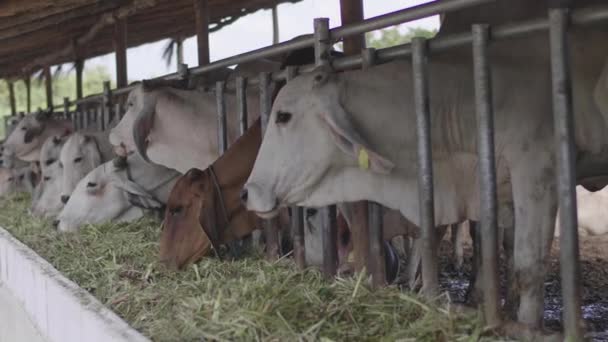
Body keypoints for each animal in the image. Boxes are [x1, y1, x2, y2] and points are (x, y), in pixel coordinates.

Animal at [245, 14, 608, 328]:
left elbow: (528, 263)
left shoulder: (537, 165)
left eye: (283, 116)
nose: (247, 193)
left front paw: (526, 324)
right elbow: (488, 243)